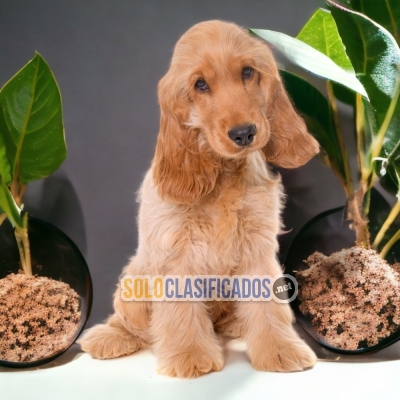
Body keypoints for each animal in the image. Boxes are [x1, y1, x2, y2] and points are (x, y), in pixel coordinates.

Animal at [79, 20, 320, 378]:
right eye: (200, 84)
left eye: (247, 71)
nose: (244, 133)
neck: (223, 173)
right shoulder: (177, 251)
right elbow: (181, 311)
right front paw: (189, 355)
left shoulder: (257, 247)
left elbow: (267, 304)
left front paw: (280, 350)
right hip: (135, 275)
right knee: (130, 320)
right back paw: (111, 337)